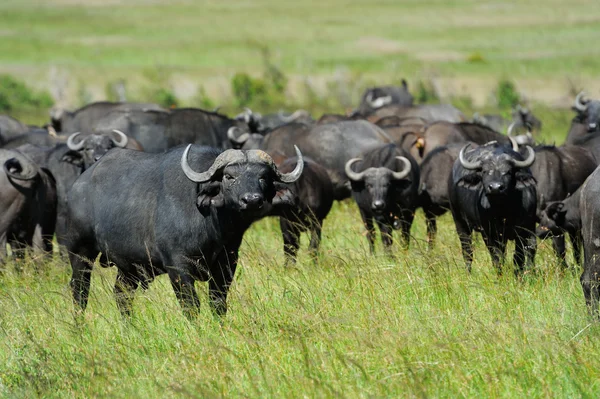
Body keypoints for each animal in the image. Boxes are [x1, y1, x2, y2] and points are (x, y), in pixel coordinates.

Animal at [67, 145, 304, 318]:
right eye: (229, 176)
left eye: (263, 177)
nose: (252, 200)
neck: (214, 227)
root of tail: (78, 185)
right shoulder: (178, 267)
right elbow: (191, 306)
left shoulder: (226, 264)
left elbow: (218, 304)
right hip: (80, 253)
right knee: (80, 292)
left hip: (130, 267)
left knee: (121, 295)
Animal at [448, 141, 536, 276]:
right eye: (484, 171)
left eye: (508, 172)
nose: (495, 187)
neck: (503, 211)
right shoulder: (488, 233)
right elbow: (496, 258)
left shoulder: (522, 231)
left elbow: (519, 257)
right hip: (459, 221)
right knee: (467, 251)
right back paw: (468, 273)